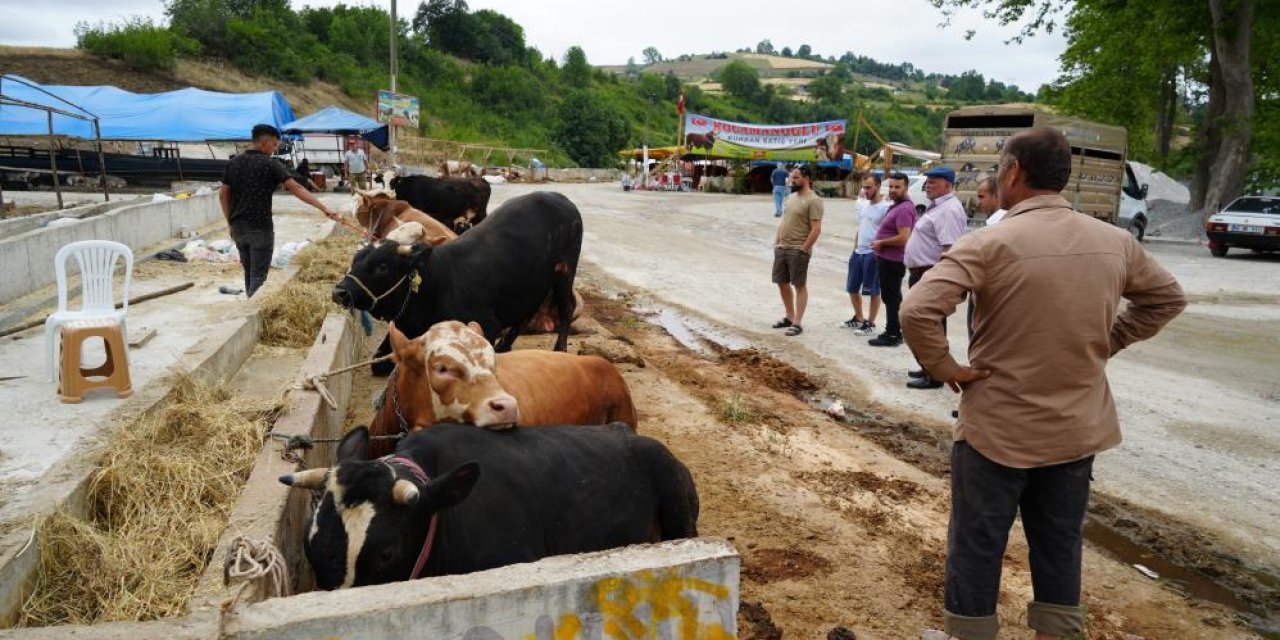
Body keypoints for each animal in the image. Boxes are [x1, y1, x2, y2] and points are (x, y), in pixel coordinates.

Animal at [335, 188, 586, 373]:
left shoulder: (487, 325)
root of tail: (559, 197)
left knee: (565, 308)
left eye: (382, 266)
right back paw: (505, 345)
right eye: (355, 259)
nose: (339, 292)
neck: (438, 283)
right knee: (527, 312)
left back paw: (560, 349)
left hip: (565, 270)